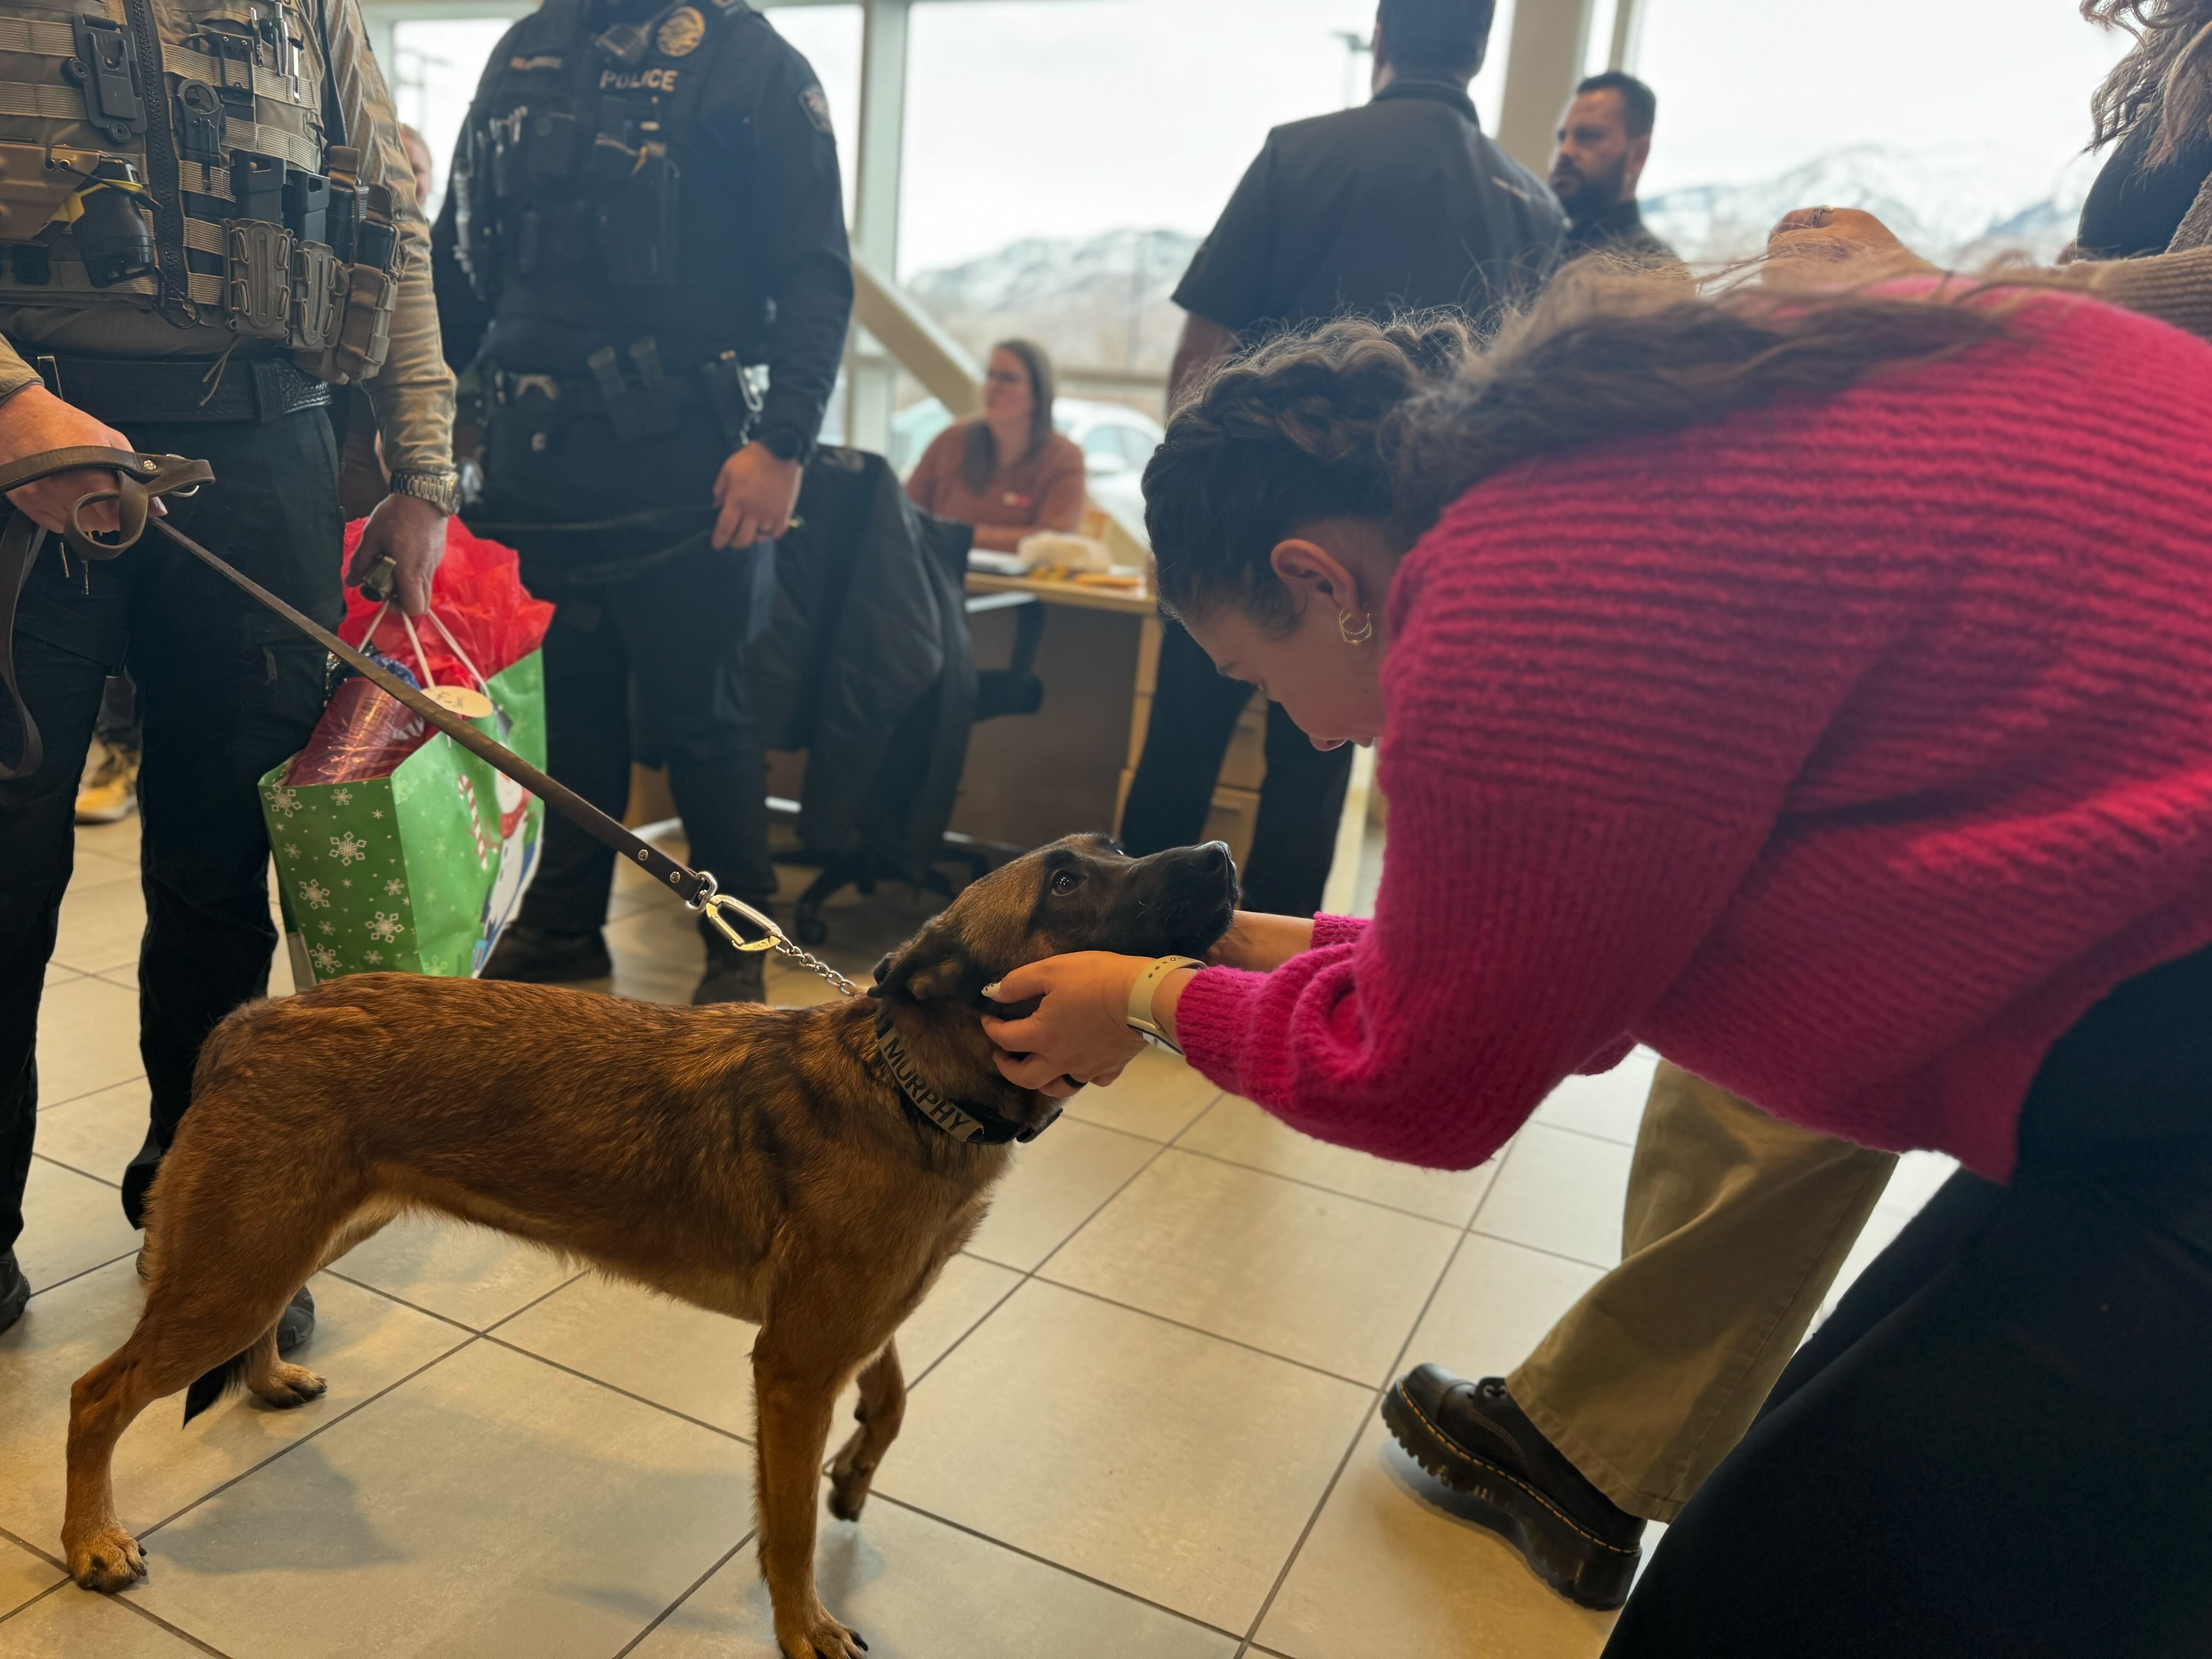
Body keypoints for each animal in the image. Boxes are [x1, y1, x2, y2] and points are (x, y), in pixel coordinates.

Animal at [60, 836, 1238, 1659]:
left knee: (251, 1320)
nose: (1226, 857)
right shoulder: (794, 1362)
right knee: (95, 1396)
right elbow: (789, 1525)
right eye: (1068, 883)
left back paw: (264, 1379)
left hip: (296, 1235)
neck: (910, 1082)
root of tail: (248, 1021)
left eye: (1112, 851)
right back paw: (90, 1542)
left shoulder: (854, 1318)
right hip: (242, 1259)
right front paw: (804, 1622)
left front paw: (859, 1466)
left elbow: (894, 1390)